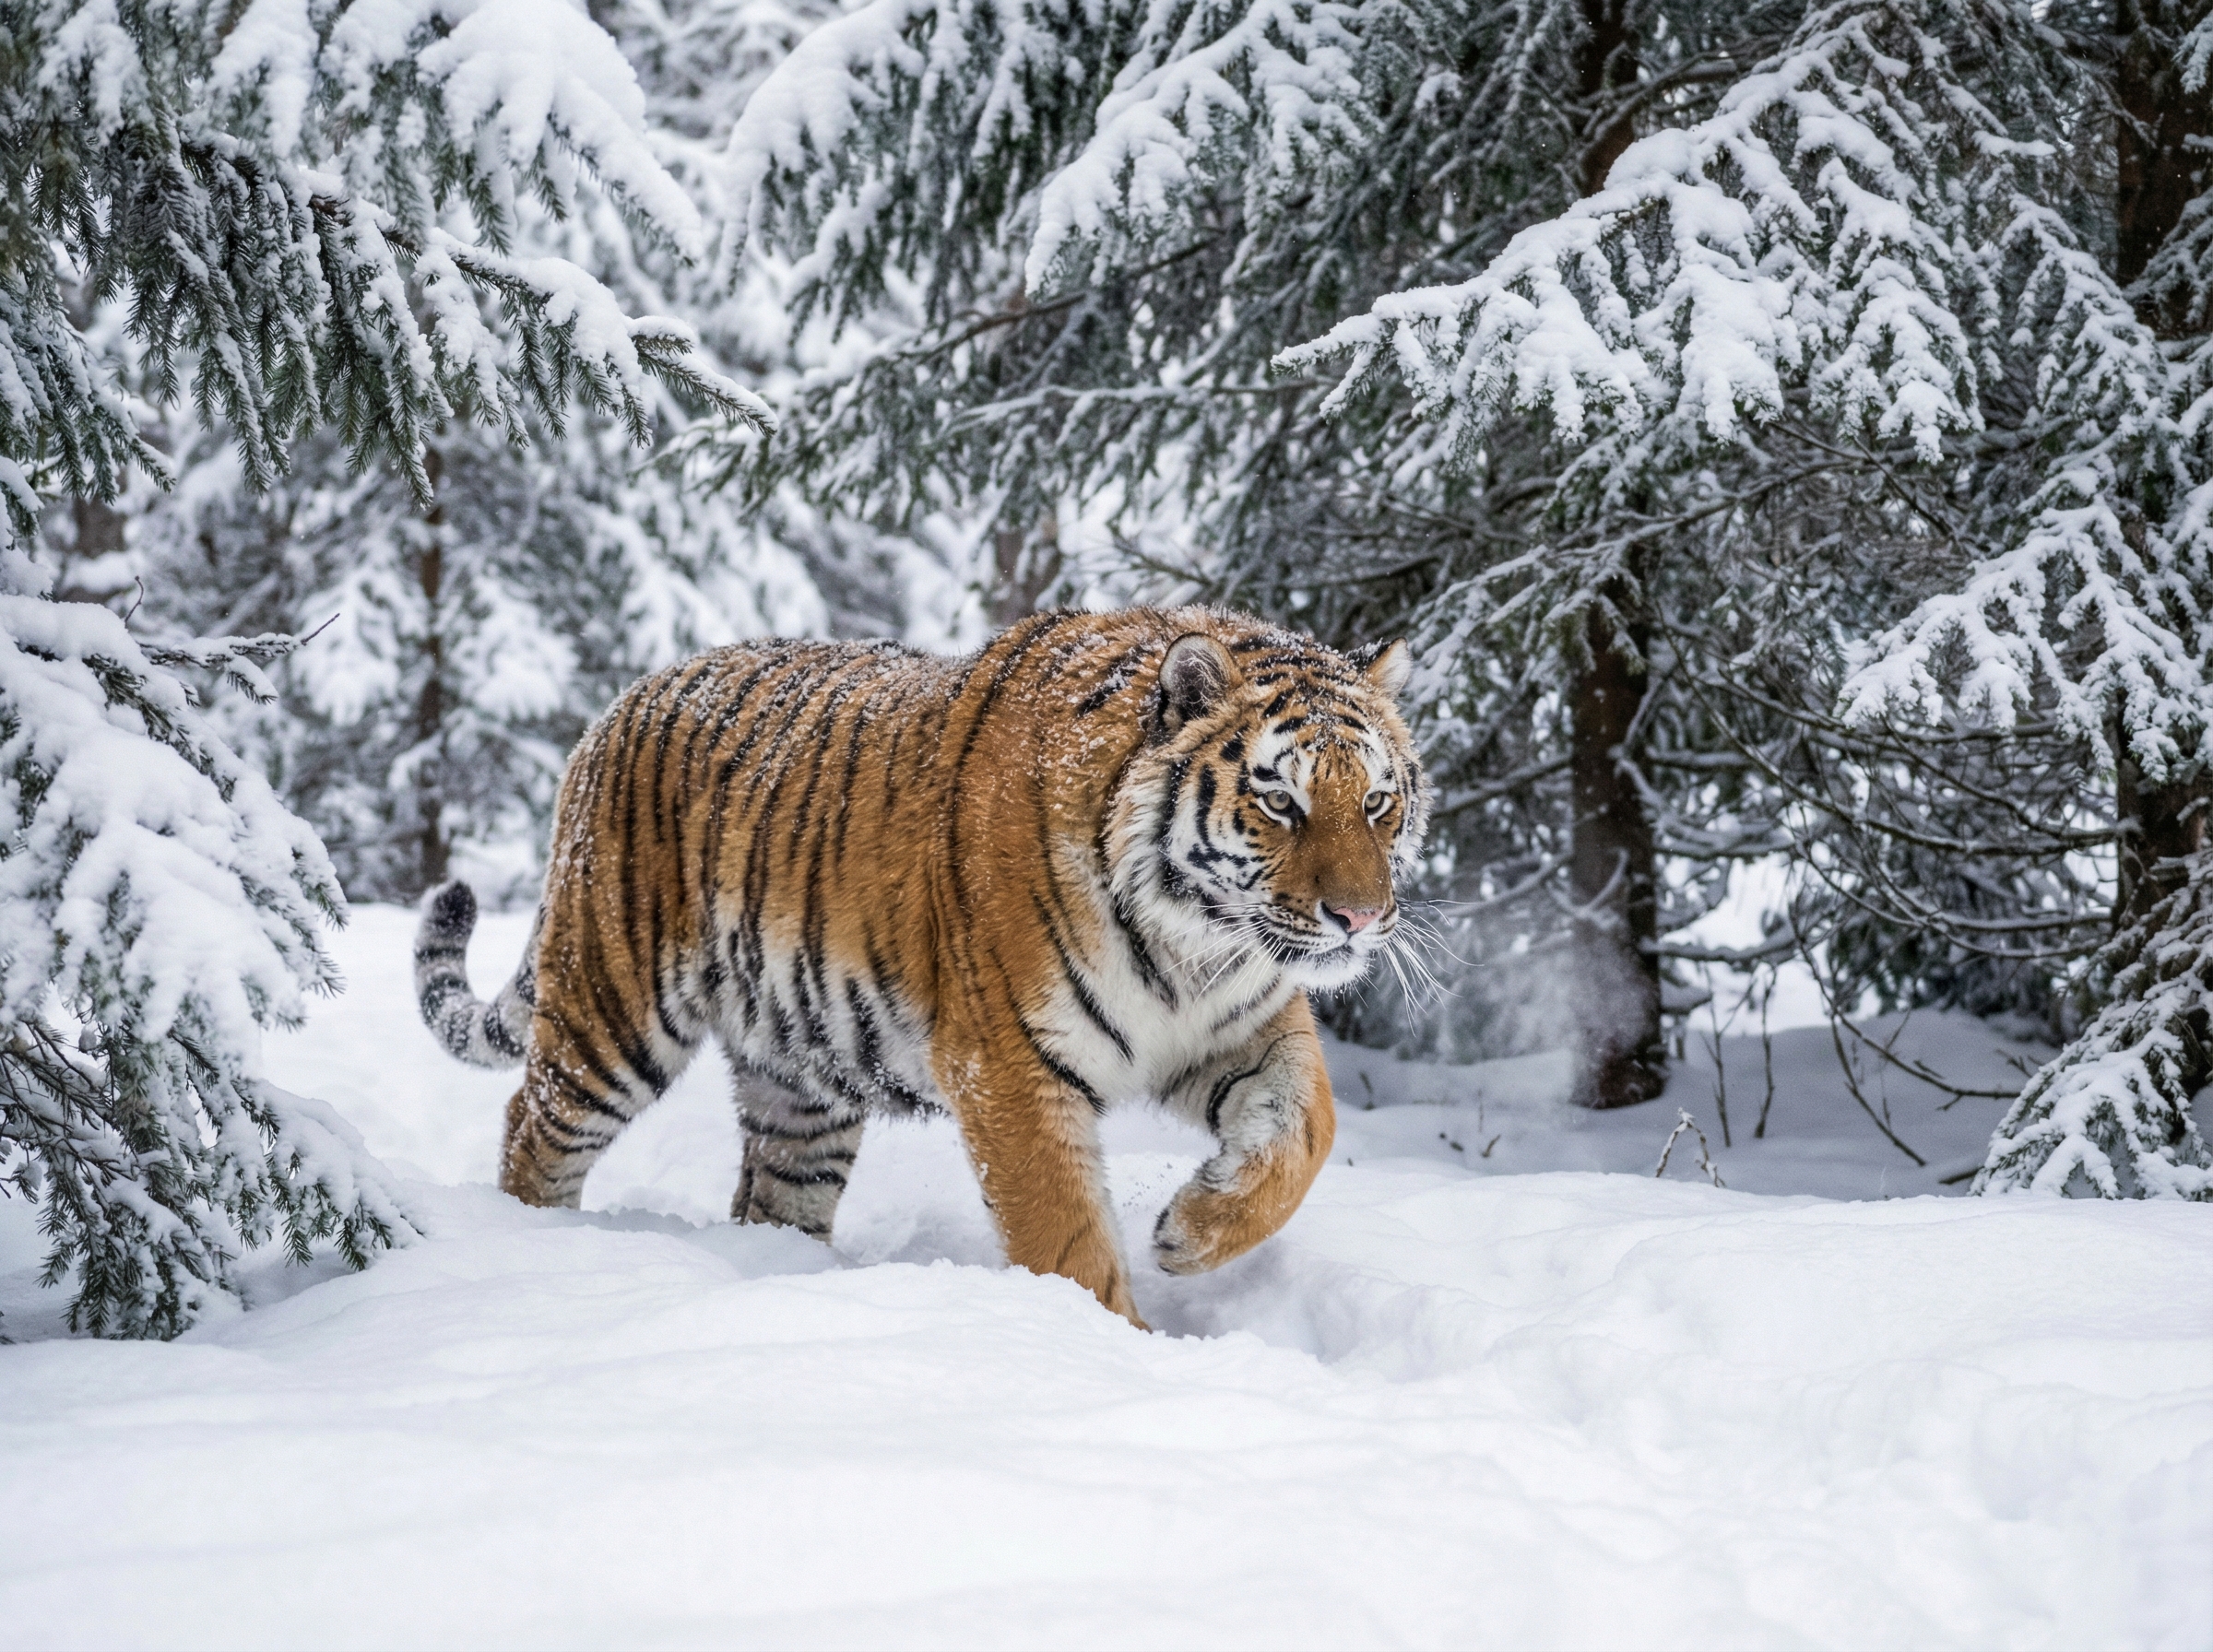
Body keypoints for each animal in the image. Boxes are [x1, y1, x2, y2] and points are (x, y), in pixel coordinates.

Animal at [413, 606, 1426, 1328]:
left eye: (1377, 801)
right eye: (1281, 802)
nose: (1359, 918)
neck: (1195, 941)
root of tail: (617, 708)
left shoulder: (1242, 1025)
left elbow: (1306, 1130)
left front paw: (1192, 1232)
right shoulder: (1009, 1066)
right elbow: (1065, 1236)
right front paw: (1112, 1347)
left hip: (801, 1081)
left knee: (771, 1191)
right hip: (613, 1012)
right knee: (532, 1126)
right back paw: (537, 1246)